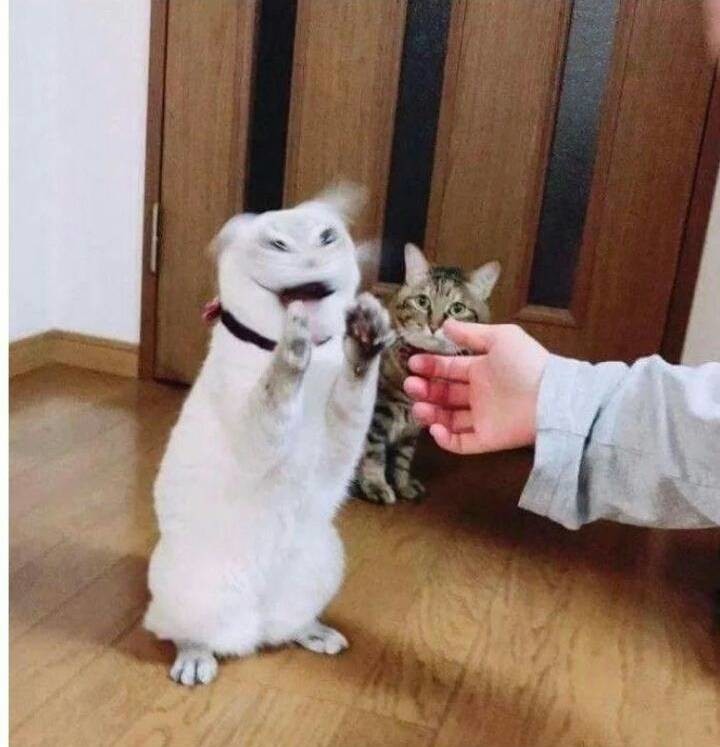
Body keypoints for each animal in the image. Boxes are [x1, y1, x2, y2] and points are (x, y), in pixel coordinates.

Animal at [144, 184, 394, 686]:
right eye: (278, 244)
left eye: (327, 236)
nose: (313, 262)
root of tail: (254, 621)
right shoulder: (257, 440)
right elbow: (275, 391)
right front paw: (291, 343)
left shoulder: (340, 441)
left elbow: (357, 385)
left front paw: (367, 330)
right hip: (191, 589)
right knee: (183, 633)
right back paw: (196, 661)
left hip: (323, 560)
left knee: (284, 627)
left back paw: (315, 633)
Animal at [355, 243, 500, 505]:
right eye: (422, 301)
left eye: (457, 308)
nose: (433, 326)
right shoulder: (377, 414)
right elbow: (374, 454)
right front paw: (376, 485)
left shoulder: (412, 428)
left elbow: (403, 460)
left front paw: (402, 484)